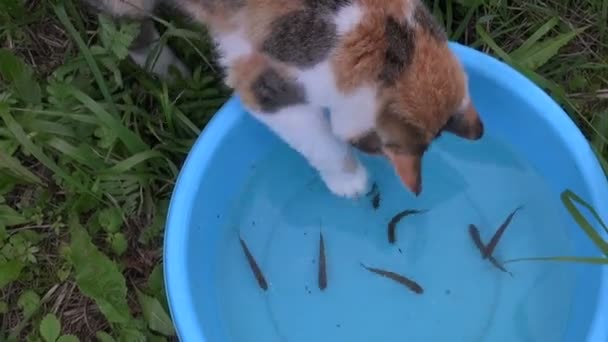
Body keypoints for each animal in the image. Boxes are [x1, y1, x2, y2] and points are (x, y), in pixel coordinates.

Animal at [84, 0, 484, 198]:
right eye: (372, 149)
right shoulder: (262, 81)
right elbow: (322, 142)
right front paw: (351, 182)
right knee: (127, 28)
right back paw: (168, 70)